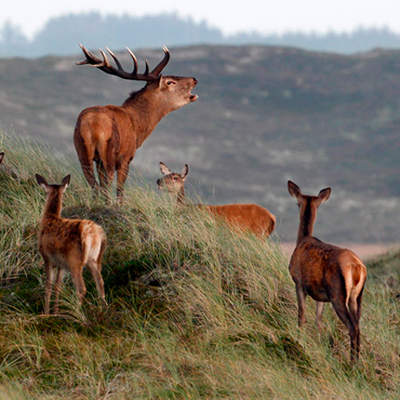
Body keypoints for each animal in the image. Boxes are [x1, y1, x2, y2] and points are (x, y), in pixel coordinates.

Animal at [36, 174, 107, 315]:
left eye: (45, 191)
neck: (49, 220)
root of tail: (93, 233)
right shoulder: (61, 264)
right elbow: (57, 287)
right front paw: (55, 313)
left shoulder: (47, 258)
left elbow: (48, 286)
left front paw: (45, 314)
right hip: (94, 260)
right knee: (100, 284)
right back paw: (104, 311)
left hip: (75, 260)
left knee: (81, 288)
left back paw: (77, 312)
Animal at [73, 44, 198, 203]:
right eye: (170, 82)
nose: (194, 79)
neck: (138, 127)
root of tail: (91, 123)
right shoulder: (126, 158)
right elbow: (120, 190)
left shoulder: (98, 161)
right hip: (109, 152)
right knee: (107, 185)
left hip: (82, 151)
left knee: (94, 184)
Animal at [287, 180, 367, 362]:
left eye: (297, 203)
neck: (301, 241)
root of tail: (356, 267)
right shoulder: (320, 295)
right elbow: (318, 320)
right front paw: (318, 341)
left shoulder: (298, 283)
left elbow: (302, 316)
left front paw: (300, 340)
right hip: (356, 296)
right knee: (358, 326)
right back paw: (357, 360)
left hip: (337, 293)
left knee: (352, 327)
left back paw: (351, 363)